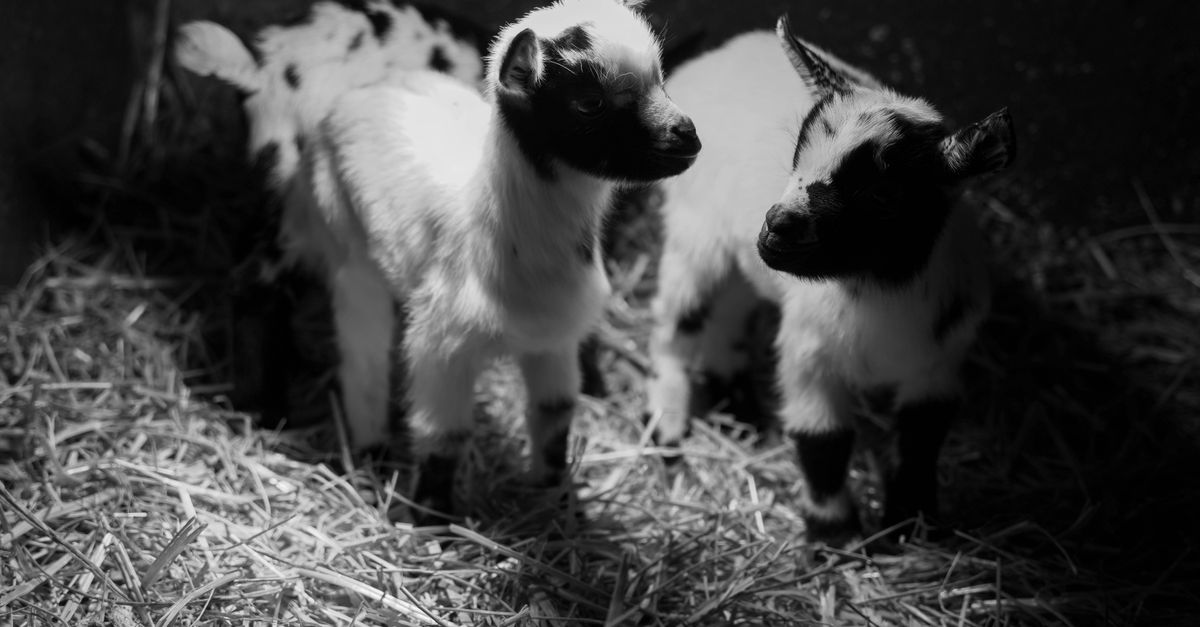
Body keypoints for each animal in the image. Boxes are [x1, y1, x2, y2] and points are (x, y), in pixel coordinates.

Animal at [299, 0, 700, 516]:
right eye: (589, 103)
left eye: (661, 79)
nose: (686, 137)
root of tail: (362, 90)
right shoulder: (441, 345)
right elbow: (443, 435)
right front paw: (433, 518)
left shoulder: (554, 339)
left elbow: (553, 419)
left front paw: (556, 499)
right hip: (345, 245)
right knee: (361, 355)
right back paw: (370, 448)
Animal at [646, 16, 1014, 543]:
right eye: (798, 154)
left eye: (884, 193)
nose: (777, 227)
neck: (879, 293)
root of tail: (705, 61)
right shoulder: (809, 355)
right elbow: (823, 442)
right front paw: (835, 534)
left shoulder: (938, 360)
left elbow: (923, 438)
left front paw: (913, 522)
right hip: (696, 229)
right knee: (677, 319)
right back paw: (668, 424)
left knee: (730, 307)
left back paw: (737, 402)